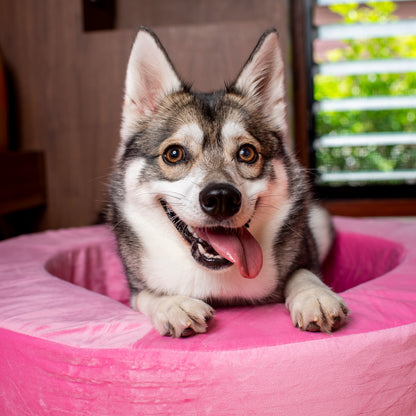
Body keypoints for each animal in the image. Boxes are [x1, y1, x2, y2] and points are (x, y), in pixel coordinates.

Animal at [106, 26, 348, 338]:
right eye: (174, 154)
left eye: (247, 152)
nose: (221, 198)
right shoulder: (134, 288)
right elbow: (147, 294)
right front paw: (172, 303)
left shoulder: (307, 252)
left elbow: (302, 272)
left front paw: (314, 295)